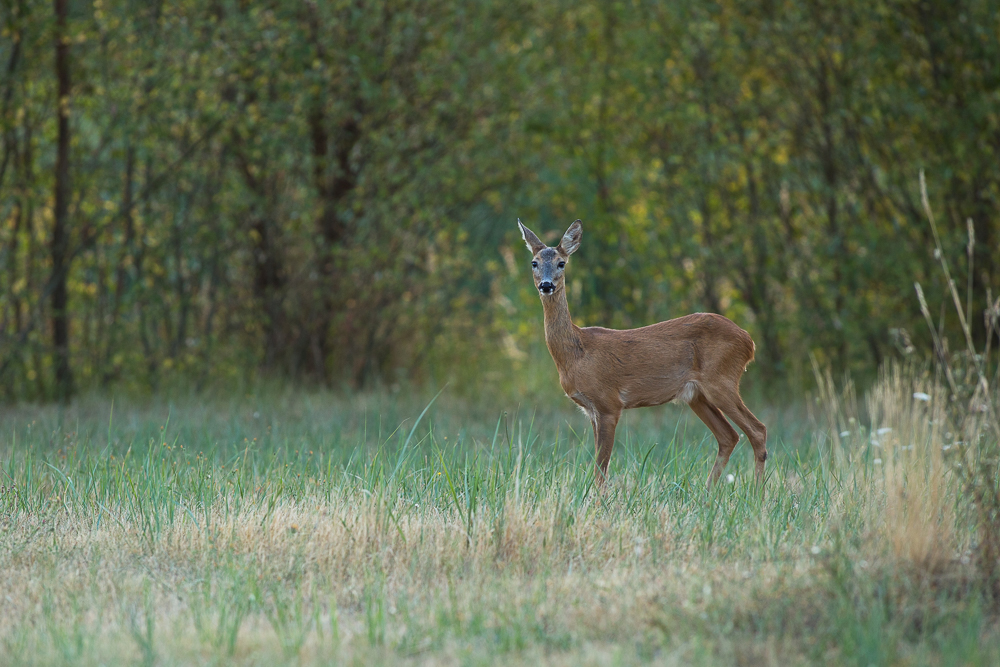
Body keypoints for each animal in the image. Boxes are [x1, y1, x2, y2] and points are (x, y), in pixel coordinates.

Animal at [516, 222, 764, 488]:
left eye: (561, 263)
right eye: (534, 262)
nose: (546, 285)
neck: (577, 354)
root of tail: (749, 341)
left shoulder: (609, 403)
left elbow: (601, 468)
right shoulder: (591, 410)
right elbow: (598, 466)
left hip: (721, 380)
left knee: (757, 430)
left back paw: (756, 492)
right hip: (696, 395)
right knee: (729, 436)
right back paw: (708, 492)